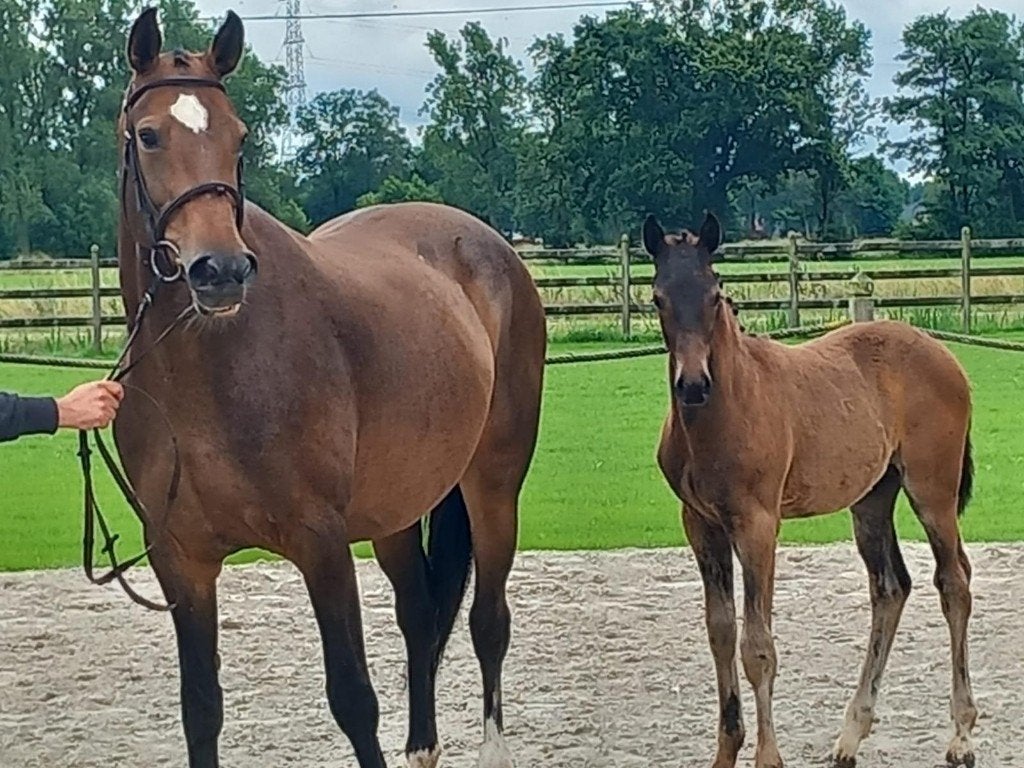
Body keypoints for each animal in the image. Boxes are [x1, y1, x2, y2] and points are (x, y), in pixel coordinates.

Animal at [109, 9, 545, 768]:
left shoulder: (322, 544)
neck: (205, 372)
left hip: (493, 487)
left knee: (489, 621)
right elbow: (202, 709)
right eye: (150, 134)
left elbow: (353, 700)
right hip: (397, 509)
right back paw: (423, 747)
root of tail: (491, 248)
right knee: (420, 615)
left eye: (239, 135)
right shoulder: (180, 560)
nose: (220, 269)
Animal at [643, 212, 977, 768]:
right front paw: (726, 750)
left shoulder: (758, 525)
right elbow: (721, 633)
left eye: (715, 294)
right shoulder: (701, 525)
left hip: (933, 489)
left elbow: (758, 647)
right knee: (890, 587)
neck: (725, 408)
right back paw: (850, 736)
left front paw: (768, 758)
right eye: (657, 298)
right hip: (872, 498)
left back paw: (962, 736)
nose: (692, 385)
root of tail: (943, 353)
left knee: (954, 583)